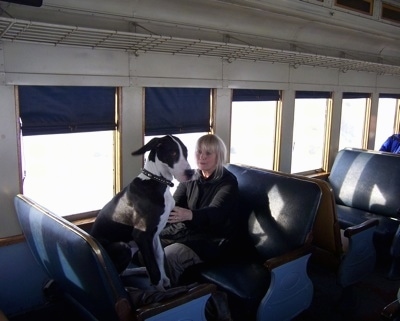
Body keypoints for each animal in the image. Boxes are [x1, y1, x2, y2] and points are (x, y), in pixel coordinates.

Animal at [92, 135, 195, 290]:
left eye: (186, 152)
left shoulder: (154, 234)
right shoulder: (141, 235)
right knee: (118, 273)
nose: (191, 173)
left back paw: (140, 270)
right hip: (124, 246)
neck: (157, 180)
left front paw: (164, 281)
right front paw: (159, 289)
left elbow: (159, 257)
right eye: (173, 153)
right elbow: (154, 268)